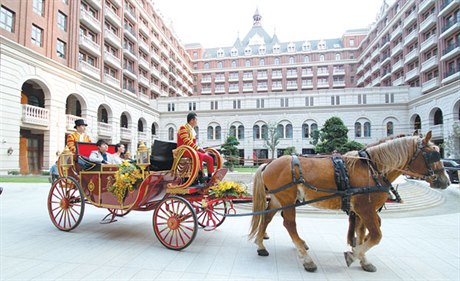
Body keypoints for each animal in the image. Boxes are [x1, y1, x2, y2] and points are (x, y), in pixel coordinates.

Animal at [250, 131, 448, 272]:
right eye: (433, 155)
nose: (445, 181)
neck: (373, 169)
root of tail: (269, 163)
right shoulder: (365, 208)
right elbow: (376, 235)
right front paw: (353, 256)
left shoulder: (362, 210)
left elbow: (362, 233)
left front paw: (363, 259)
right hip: (287, 198)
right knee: (289, 224)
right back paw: (306, 259)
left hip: (278, 198)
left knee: (267, 218)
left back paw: (261, 245)